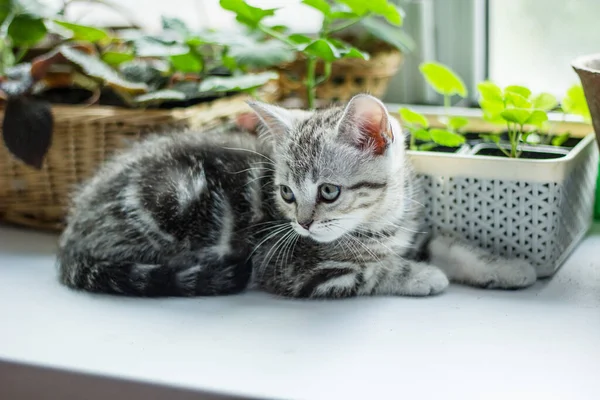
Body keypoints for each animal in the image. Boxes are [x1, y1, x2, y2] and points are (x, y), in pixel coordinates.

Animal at [58, 94, 536, 296]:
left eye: (328, 191)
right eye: (286, 193)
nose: (302, 223)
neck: (379, 223)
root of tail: (71, 232)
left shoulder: (412, 229)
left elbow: (450, 246)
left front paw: (508, 267)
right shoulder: (295, 269)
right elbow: (375, 271)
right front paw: (422, 276)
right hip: (172, 200)